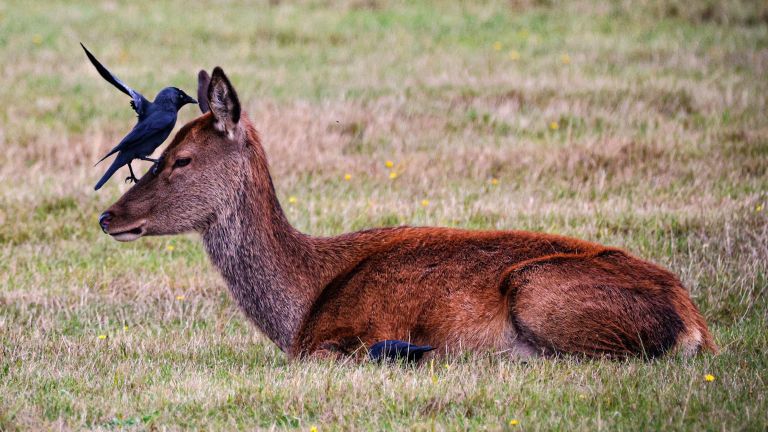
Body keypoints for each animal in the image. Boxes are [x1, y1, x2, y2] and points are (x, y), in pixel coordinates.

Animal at [99, 66, 716, 358]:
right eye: (162, 149)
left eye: (180, 159)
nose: (108, 216)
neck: (301, 305)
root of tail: (696, 326)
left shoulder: (340, 339)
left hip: (540, 290)